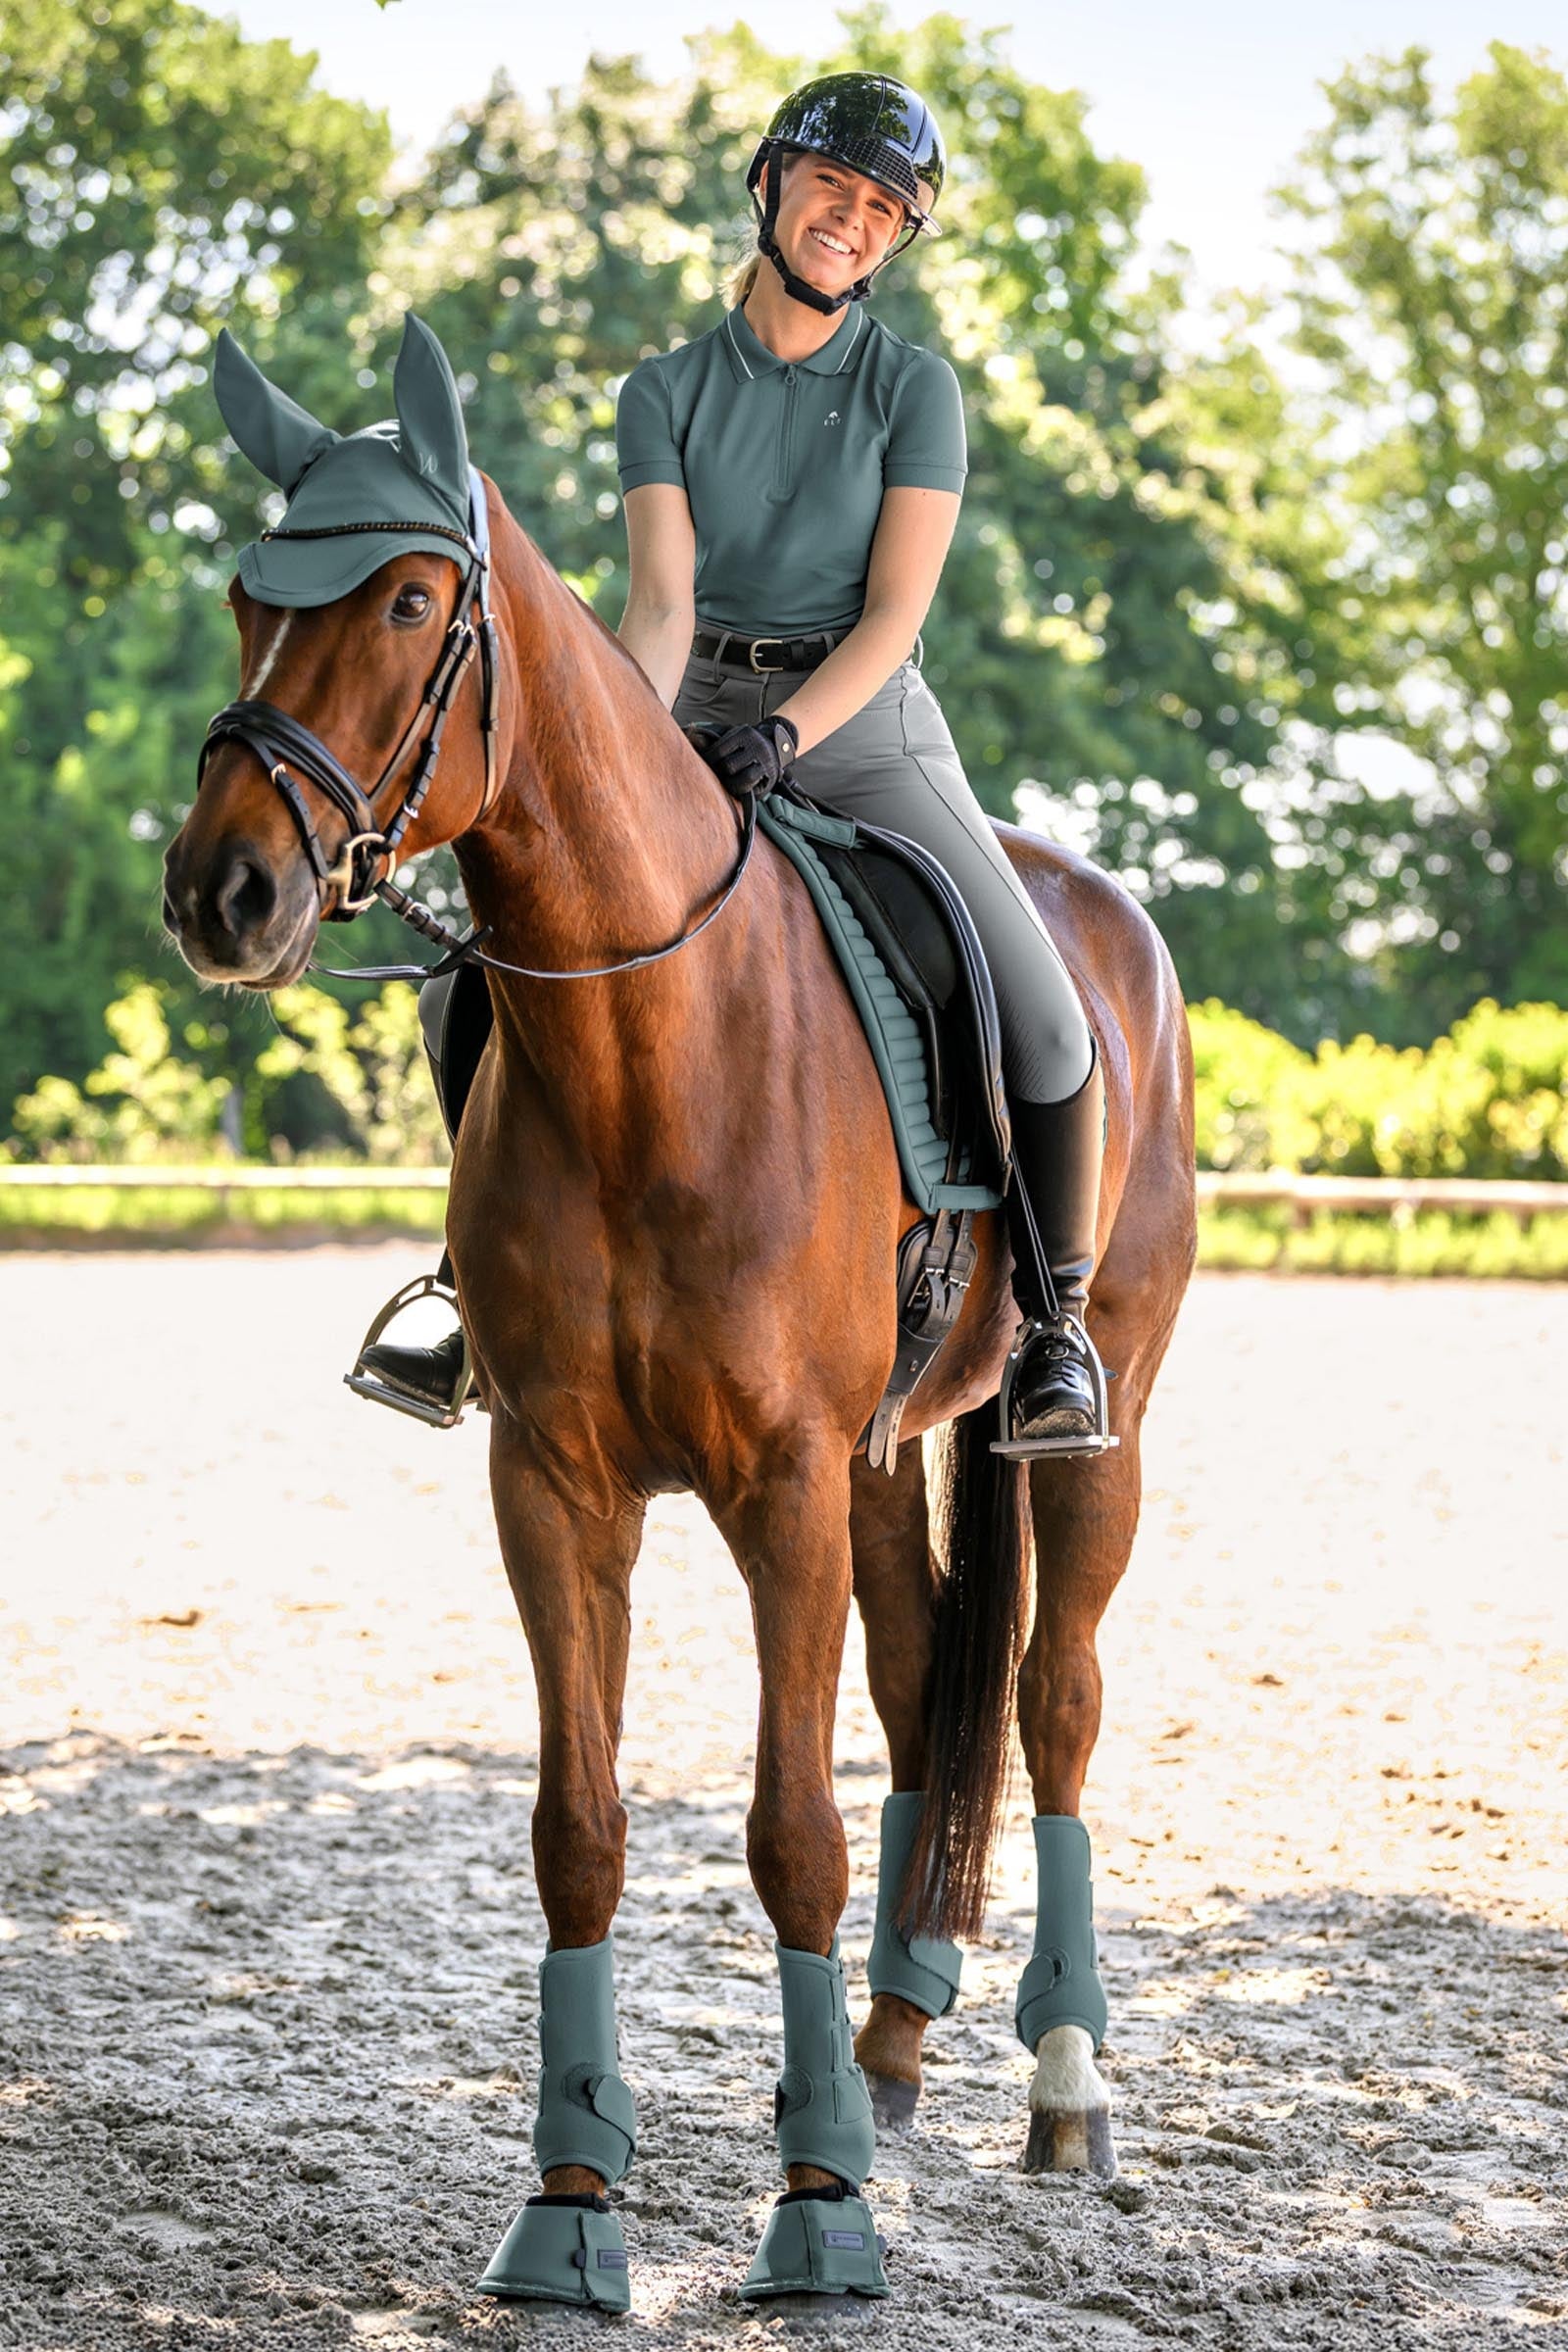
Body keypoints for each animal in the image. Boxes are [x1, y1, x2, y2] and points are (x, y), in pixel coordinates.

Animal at [162, 318, 1195, 2307]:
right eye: (252, 597)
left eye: (413, 600)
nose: (221, 892)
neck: (658, 1049)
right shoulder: (558, 1484)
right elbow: (579, 1830)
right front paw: (570, 2210)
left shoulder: (777, 1483)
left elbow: (788, 1832)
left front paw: (819, 2217)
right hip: (874, 1462)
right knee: (922, 1670)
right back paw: (890, 2043)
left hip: (1094, 1419)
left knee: (1053, 1696)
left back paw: (1063, 2083)